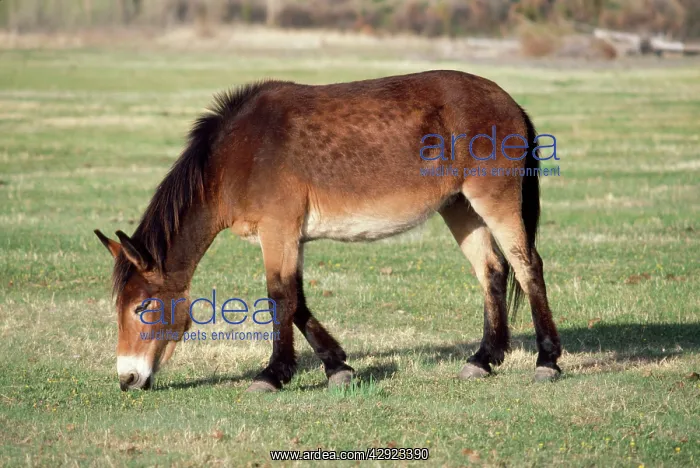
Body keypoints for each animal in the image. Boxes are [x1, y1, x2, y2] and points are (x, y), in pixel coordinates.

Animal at [95, 70, 562, 392]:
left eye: (142, 308)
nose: (127, 378)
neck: (238, 155)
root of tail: (509, 102)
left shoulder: (278, 231)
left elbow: (279, 297)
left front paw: (273, 375)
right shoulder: (290, 238)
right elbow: (297, 300)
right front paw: (338, 366)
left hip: (494, 201)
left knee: (527, 266)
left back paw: (547, 361)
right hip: (460, 208)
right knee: (492, 271)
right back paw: (483, 359)